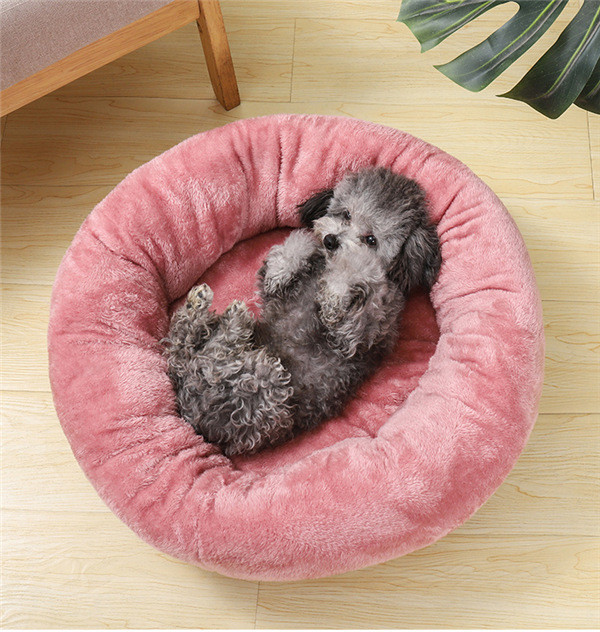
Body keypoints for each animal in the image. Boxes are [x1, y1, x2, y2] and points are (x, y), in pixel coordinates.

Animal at [164, 167, 441, 456]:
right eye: (346, 214)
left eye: (371, 240)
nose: (331, 240)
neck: (325, 268)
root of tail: (192, 417)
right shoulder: (277, 294)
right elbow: (294, 249)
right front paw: (285, 266)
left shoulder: (361, 334)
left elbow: (360, 282)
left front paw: (339, 288)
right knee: (183, 345)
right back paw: (201, 307)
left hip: (265, 387)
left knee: (211, 353)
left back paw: (232, 321)